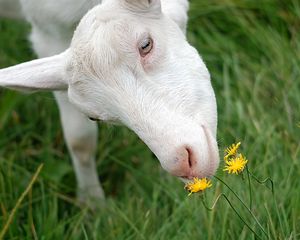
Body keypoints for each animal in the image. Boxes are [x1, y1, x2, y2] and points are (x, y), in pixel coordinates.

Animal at [0, 0, 219, 203]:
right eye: (93, 117)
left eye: (146, 45)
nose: (181, 163)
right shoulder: (48, 31)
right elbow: (80, 141)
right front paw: (92, 202)